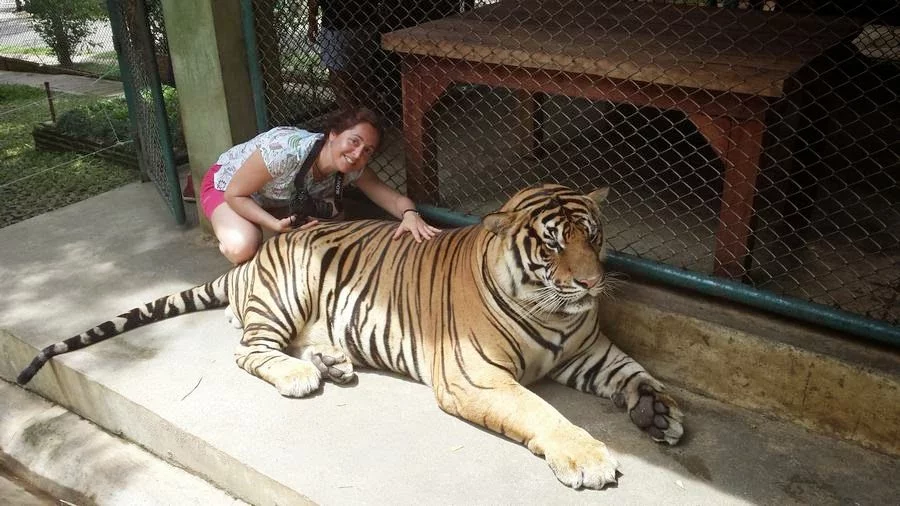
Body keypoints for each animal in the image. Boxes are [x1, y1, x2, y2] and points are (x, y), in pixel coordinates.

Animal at [17, 183, 683, 489]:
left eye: (593, 237)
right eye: (552, 245)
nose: (593, 282)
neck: (556, 313)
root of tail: (255, 257)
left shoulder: (588, 352)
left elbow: (636, 372)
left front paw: (659, 412)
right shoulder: (476, 377)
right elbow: (542, 412)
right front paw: (589, 458)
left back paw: (332, 362)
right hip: (286, 294)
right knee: (249, 350)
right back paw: (301, 375)